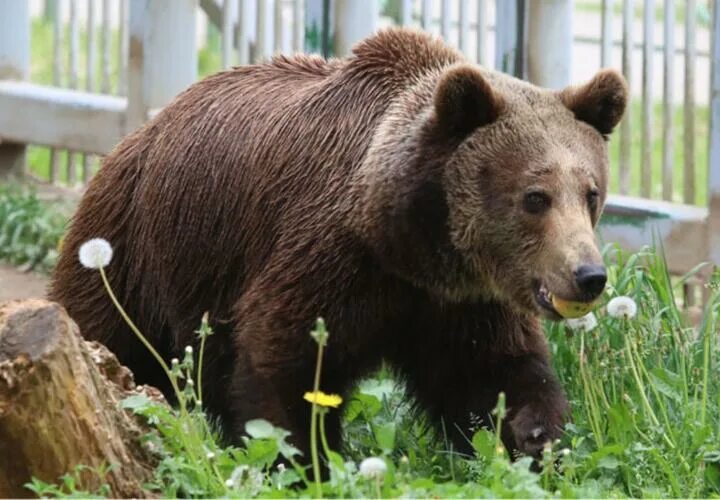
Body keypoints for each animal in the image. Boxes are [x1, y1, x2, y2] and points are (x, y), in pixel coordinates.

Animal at [49, 26, 624, 458]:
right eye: (535, 197)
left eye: (591, 192)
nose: (588, 276)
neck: (405, 239)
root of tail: (142, 131)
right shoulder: (329, 255)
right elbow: (285, 362)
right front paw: (303, 458)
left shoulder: (460, 300)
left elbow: (494, 374)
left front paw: (535, 437)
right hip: (140, 246)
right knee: (111, 333)